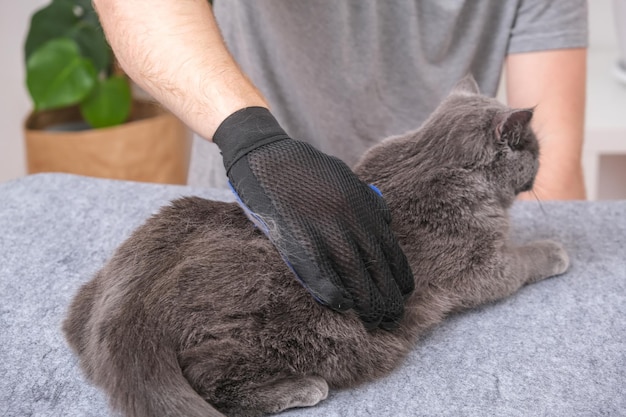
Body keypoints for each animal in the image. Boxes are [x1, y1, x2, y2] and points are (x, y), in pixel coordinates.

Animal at [62, 75, 564, 416]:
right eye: (535, 148)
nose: (542, 162)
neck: (436, 156)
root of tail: (130, 307)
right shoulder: (478, 266)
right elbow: (517, 265)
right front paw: (553, 250)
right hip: (316, 331)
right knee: (210, 376)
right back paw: (301, 388)